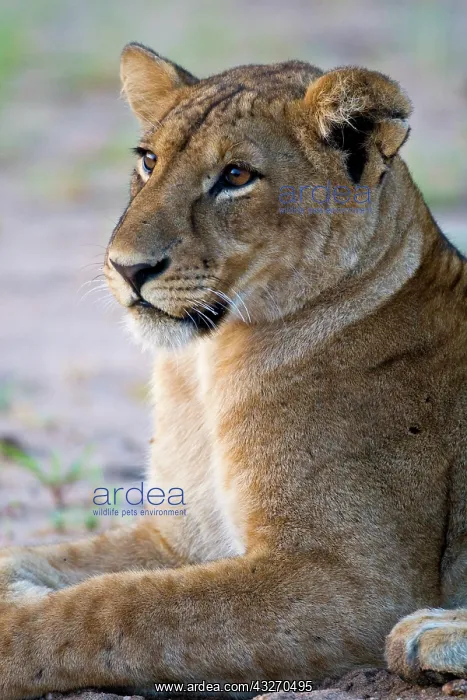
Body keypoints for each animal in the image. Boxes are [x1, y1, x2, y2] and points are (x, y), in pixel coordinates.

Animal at [0, 43, 466, 699]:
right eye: (149, 160)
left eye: (237, 177)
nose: (127, 268)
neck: (204, 372)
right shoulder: (178, 536)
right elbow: (63, 561)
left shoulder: (357, 584)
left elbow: (122, 608)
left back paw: (430, 633)